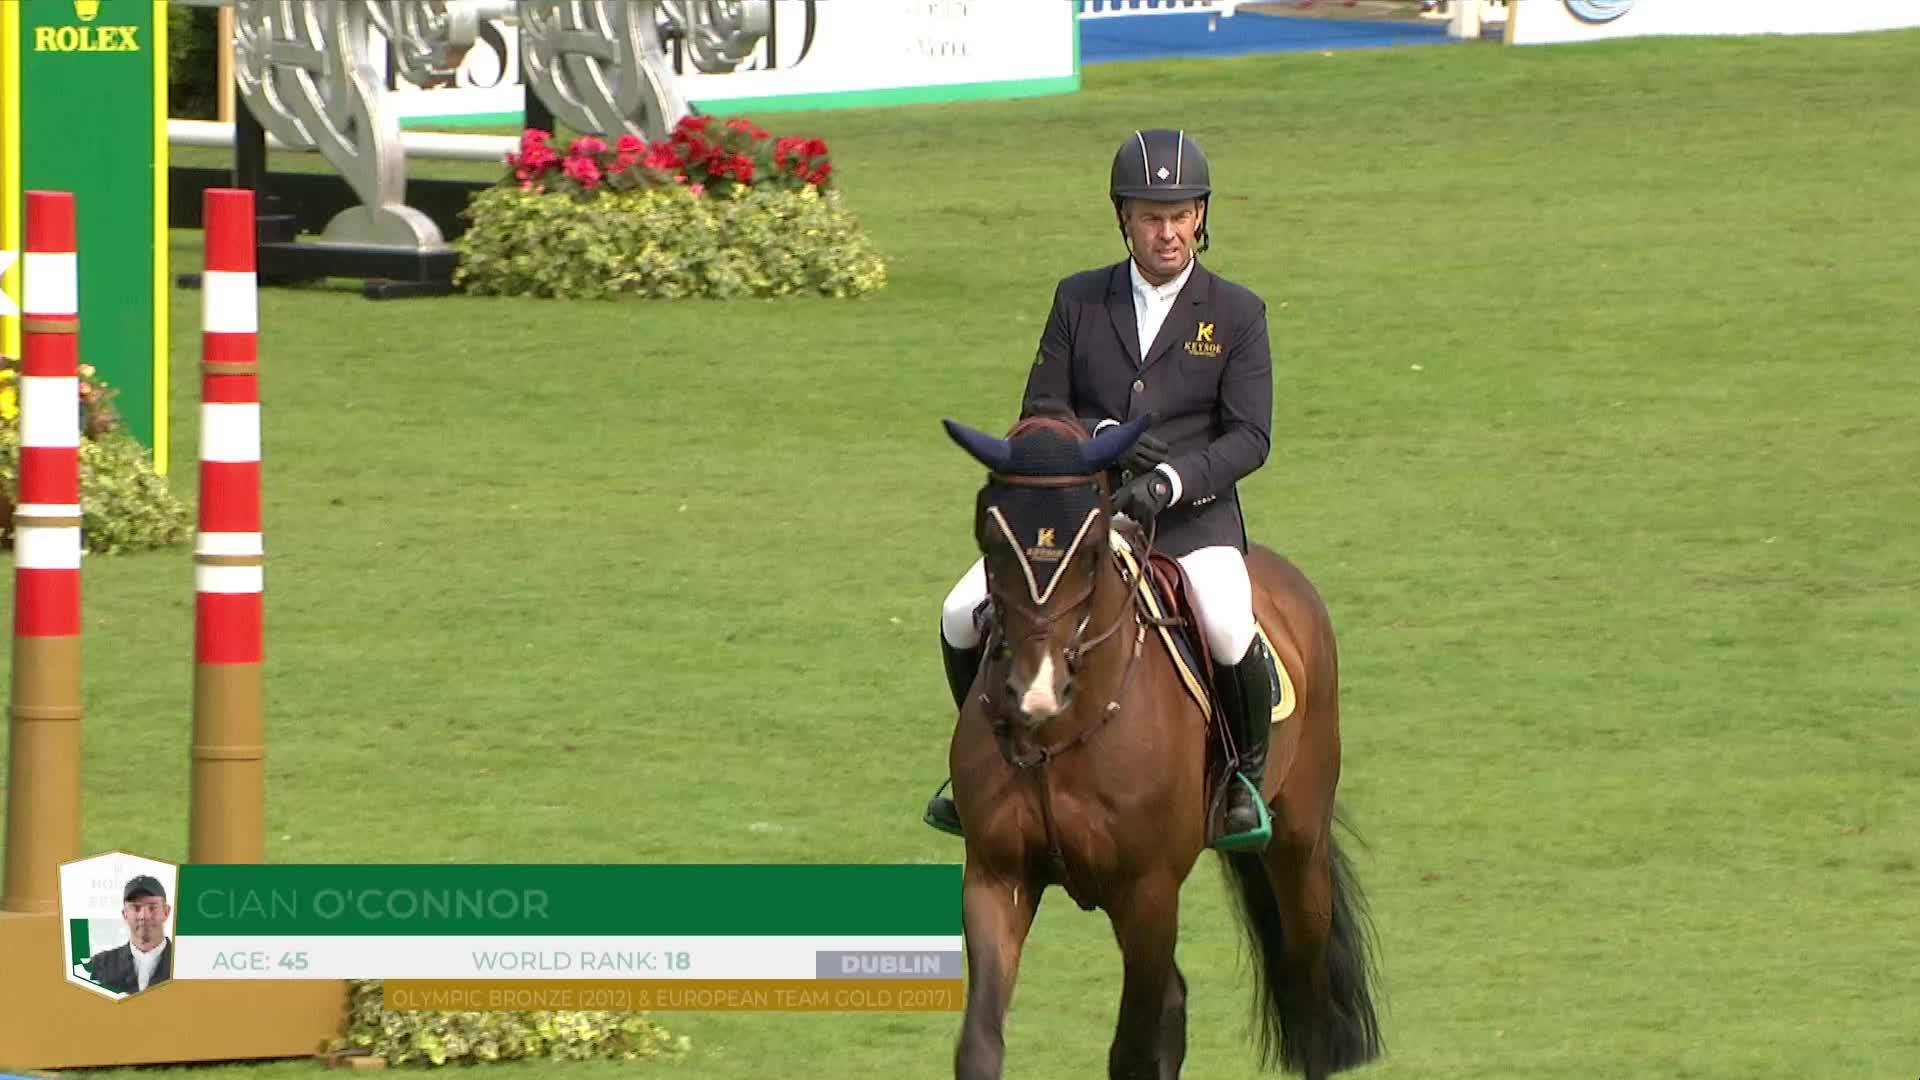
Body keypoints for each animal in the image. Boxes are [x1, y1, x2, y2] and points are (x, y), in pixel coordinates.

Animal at [939, 413, 1383, 1080]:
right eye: (990, 542)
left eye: (1091, 552)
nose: (1035, 692)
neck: (1062, 735)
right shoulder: (996, 876)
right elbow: (980, 1044)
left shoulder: (1148, 892)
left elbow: (1131, 1050)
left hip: (1298, 844)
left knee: (1308, 993)